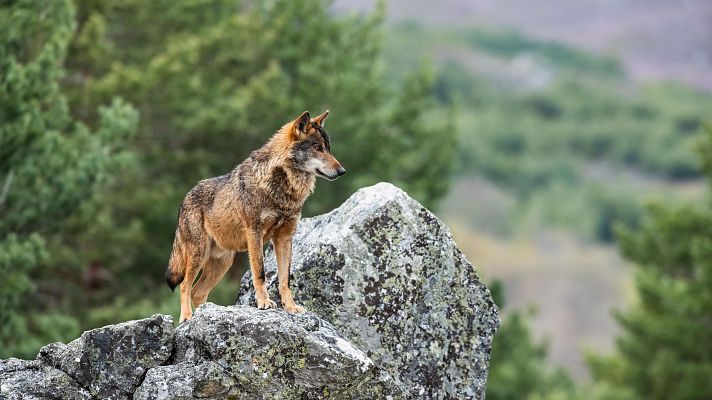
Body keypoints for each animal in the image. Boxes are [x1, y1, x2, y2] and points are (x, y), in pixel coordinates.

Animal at [165, 110, 345, 322]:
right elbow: (260, 273)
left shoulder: (285, 238)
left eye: (328, 148)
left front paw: (291, 307)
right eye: (317, 148)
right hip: (198, 255)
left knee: (197, 292)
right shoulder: (254, 233)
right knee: (185, 286)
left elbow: (285, 279)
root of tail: (185, 198)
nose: (342, 171)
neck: (283, 188)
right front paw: (264, 303)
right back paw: (187, 317)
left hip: (222, 263)